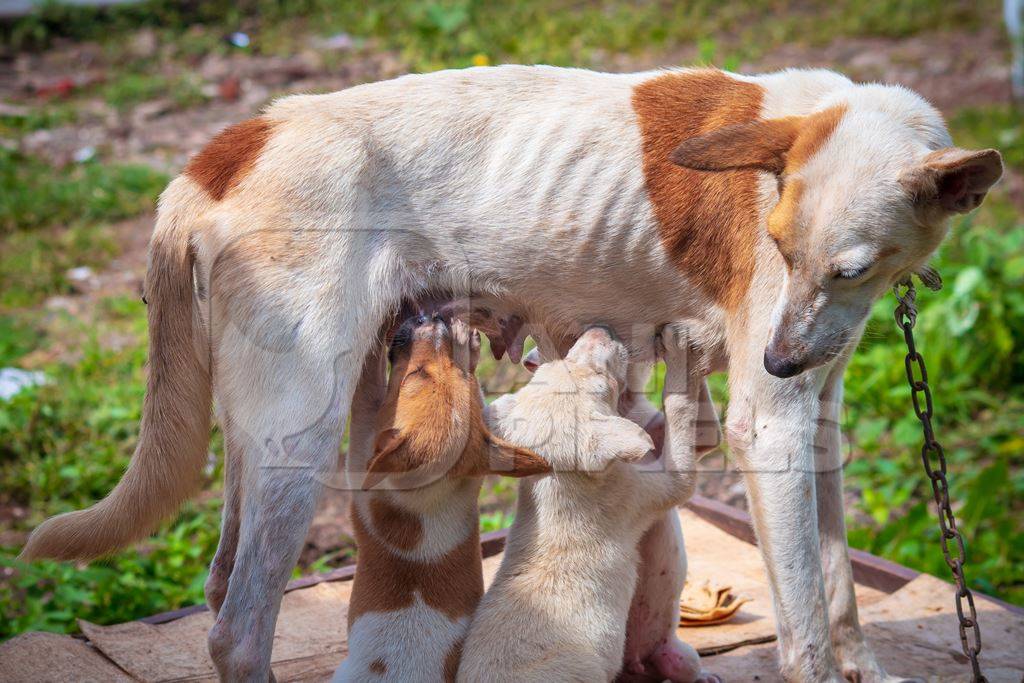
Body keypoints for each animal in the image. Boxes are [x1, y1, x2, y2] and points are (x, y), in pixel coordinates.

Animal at [460, 327, 716, 683]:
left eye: (560, 360)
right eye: (600, 377)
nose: (597, 329)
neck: (558, 478)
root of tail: (639, 668)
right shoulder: (651, 490)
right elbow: (681, 414)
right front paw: (680, 350)